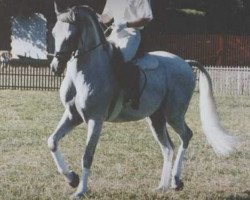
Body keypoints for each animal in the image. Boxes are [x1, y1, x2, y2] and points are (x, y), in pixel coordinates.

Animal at [47, 4, 236, 198]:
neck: (84, 73)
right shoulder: (72, 115)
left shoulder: (95, 120)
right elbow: (52, 141)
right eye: (53, 33)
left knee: (186, 136)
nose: (55, 68)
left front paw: (81, 190)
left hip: (174, 114)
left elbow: (87, 155)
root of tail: (184, 62)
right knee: (168, 147)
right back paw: (162, 186)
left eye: (70, 36)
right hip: (156, 118)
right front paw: (72, 179)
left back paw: (176, 181)